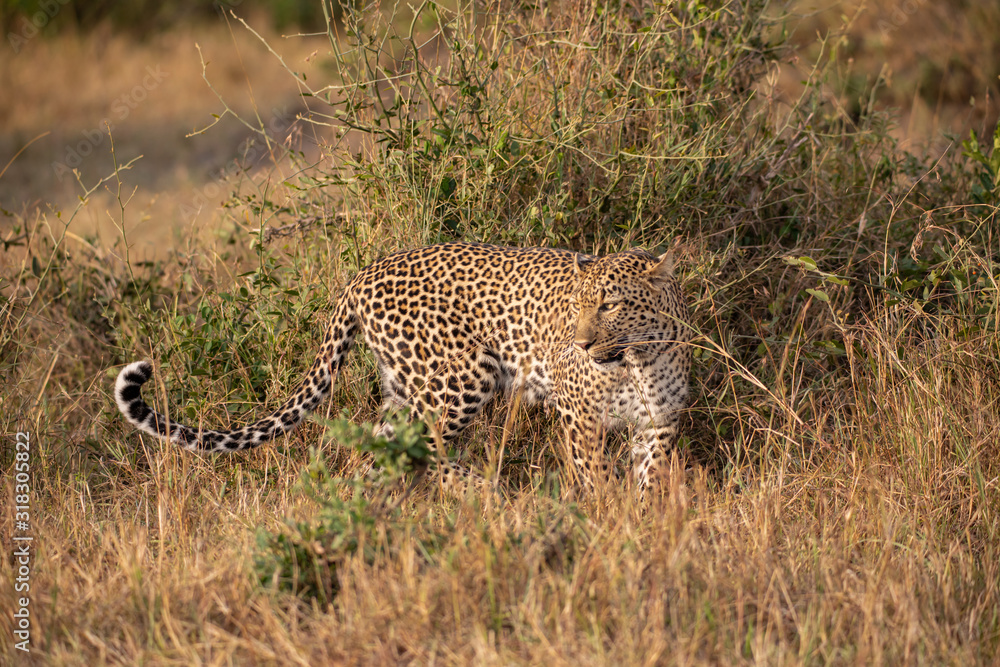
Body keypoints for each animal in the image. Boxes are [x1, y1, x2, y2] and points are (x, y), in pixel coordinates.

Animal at [115, 241, 691, 500]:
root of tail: (362, 273)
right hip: (466, 373)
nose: (581, 342)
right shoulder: (580, 418)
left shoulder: (659, 424)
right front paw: (608, 521)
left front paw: (642, 527)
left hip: (404, 390)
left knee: (377, 455)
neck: (637, 361)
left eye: (611, 305)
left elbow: (650, 479)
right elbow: (597, 477)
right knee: (429, 449)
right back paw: (487, 491)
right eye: (576, 305)